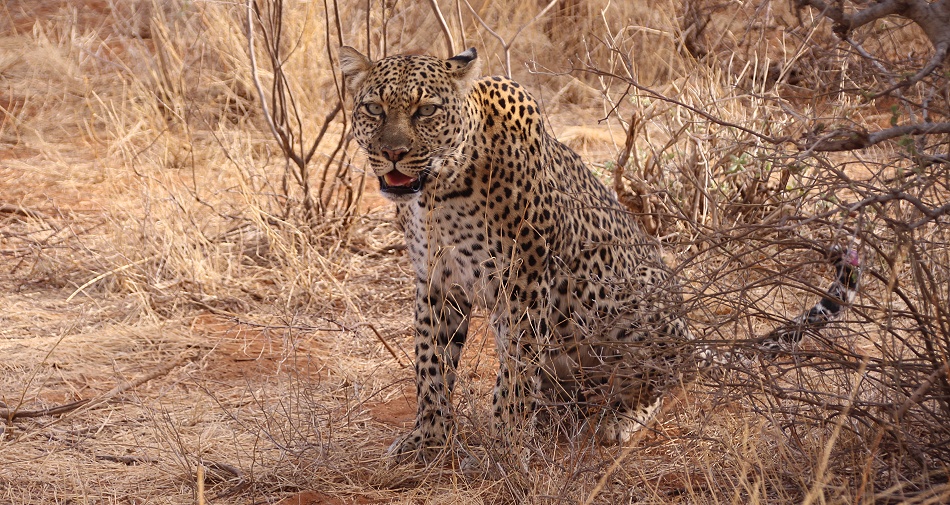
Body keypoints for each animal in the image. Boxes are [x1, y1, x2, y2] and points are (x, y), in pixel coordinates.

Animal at [338, 46, 861, 463]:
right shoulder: (436, 280)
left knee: (655, 382)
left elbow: (514, 373)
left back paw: (620, 420)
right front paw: (427, 442)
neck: (438, 192)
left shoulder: (526, 280)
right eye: (373, 108)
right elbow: (432, 365)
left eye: (426, 110)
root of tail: (690, 339)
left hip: (628, 301)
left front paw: (506, 447)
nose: (393, 153)